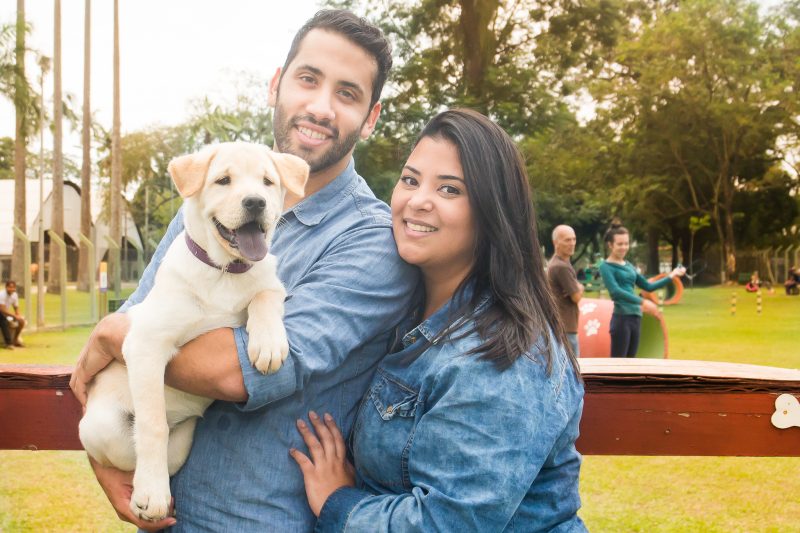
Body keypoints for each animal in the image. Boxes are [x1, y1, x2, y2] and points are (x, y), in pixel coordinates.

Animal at [78, 142, 308, 521]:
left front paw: (269, 343)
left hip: (179, 442)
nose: (255, 202)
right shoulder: (145, 342)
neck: (225, 272)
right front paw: (153, 493)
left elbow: (265, 295)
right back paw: (142, 492)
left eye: (267, 182)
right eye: (223, 180)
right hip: (101, 425)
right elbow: (152, 425)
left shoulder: (269, 284)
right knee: (134, 449)